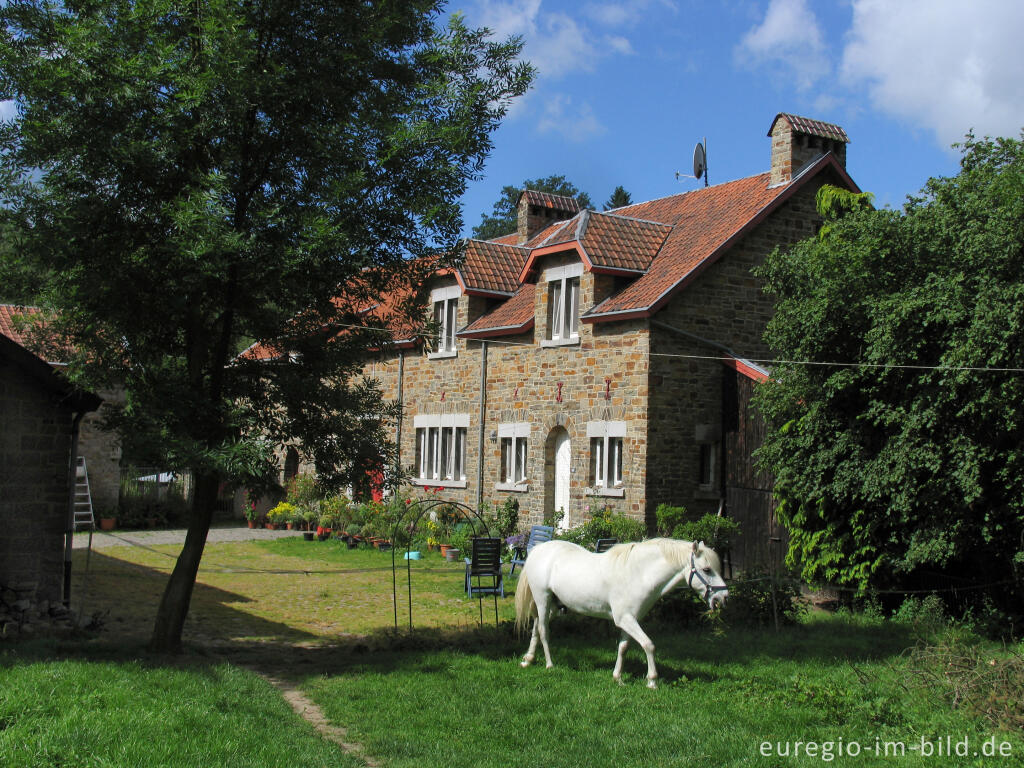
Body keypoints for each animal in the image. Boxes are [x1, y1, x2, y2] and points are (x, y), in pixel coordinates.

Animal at [512, 536, 729, 692]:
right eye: (707, 569)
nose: (724, 597)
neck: (638, 574)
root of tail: (539, 550)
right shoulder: (626, 619)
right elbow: (649, 645)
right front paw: (652, 681)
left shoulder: (630, 620)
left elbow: (623, 647)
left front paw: (618, 678)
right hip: (543, 599)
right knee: (543, 630)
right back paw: (550, 665)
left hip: (553, 606)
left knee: (536, 627)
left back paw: (528, 660)